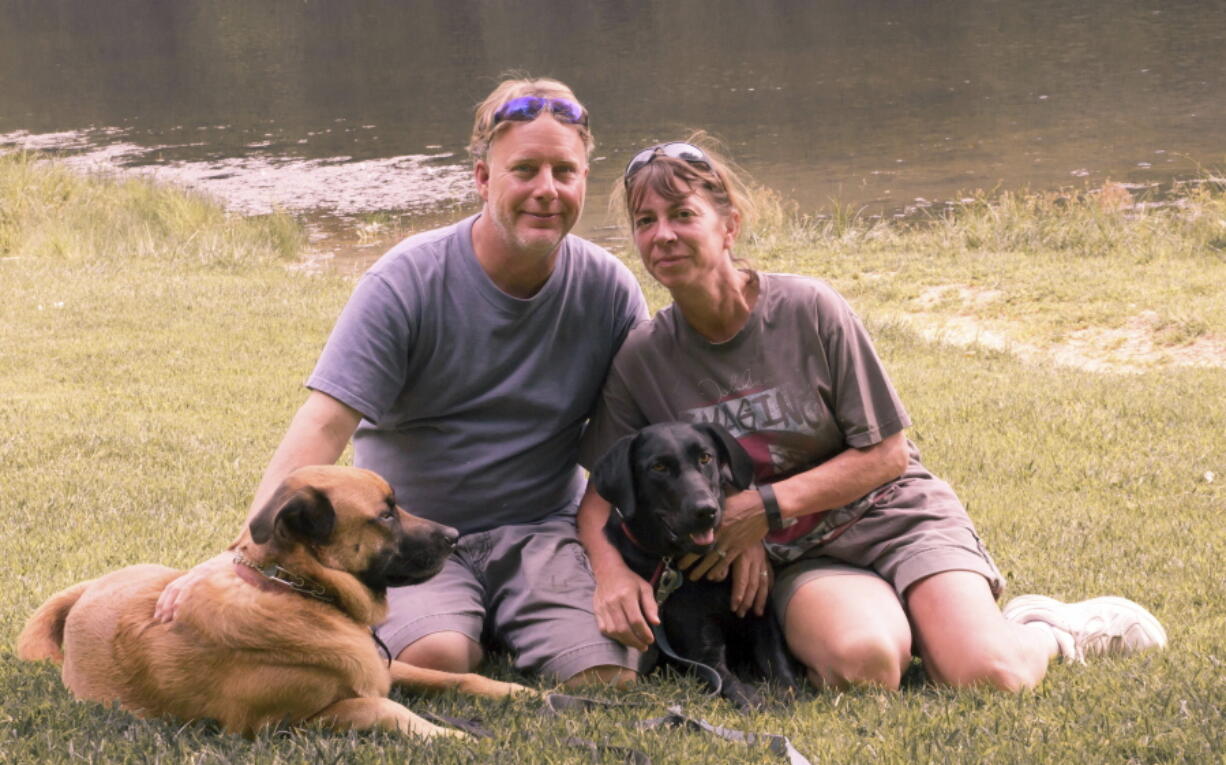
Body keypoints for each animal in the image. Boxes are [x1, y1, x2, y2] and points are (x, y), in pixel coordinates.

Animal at [19, 463, 534, 740]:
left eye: (396, 505)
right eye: (385, 515)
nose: (455, 535)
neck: (300, 591)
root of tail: (87, 589)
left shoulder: (380, 667)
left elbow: (453, 676)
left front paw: (520, 692)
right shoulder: (291, 721)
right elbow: (386, 709)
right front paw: (450, 734)